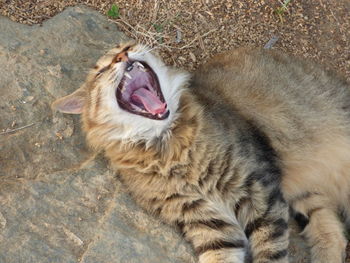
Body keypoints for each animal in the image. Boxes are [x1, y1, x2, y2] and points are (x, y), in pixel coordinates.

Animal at [52, 42, 350, 262]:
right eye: (101, 71)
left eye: (125, 46)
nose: (122, 55)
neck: (167, 147)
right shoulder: (205, 221)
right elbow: (219, 255)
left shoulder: (260, 189)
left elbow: (270, 250)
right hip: (304, 196)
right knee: (331, 232)